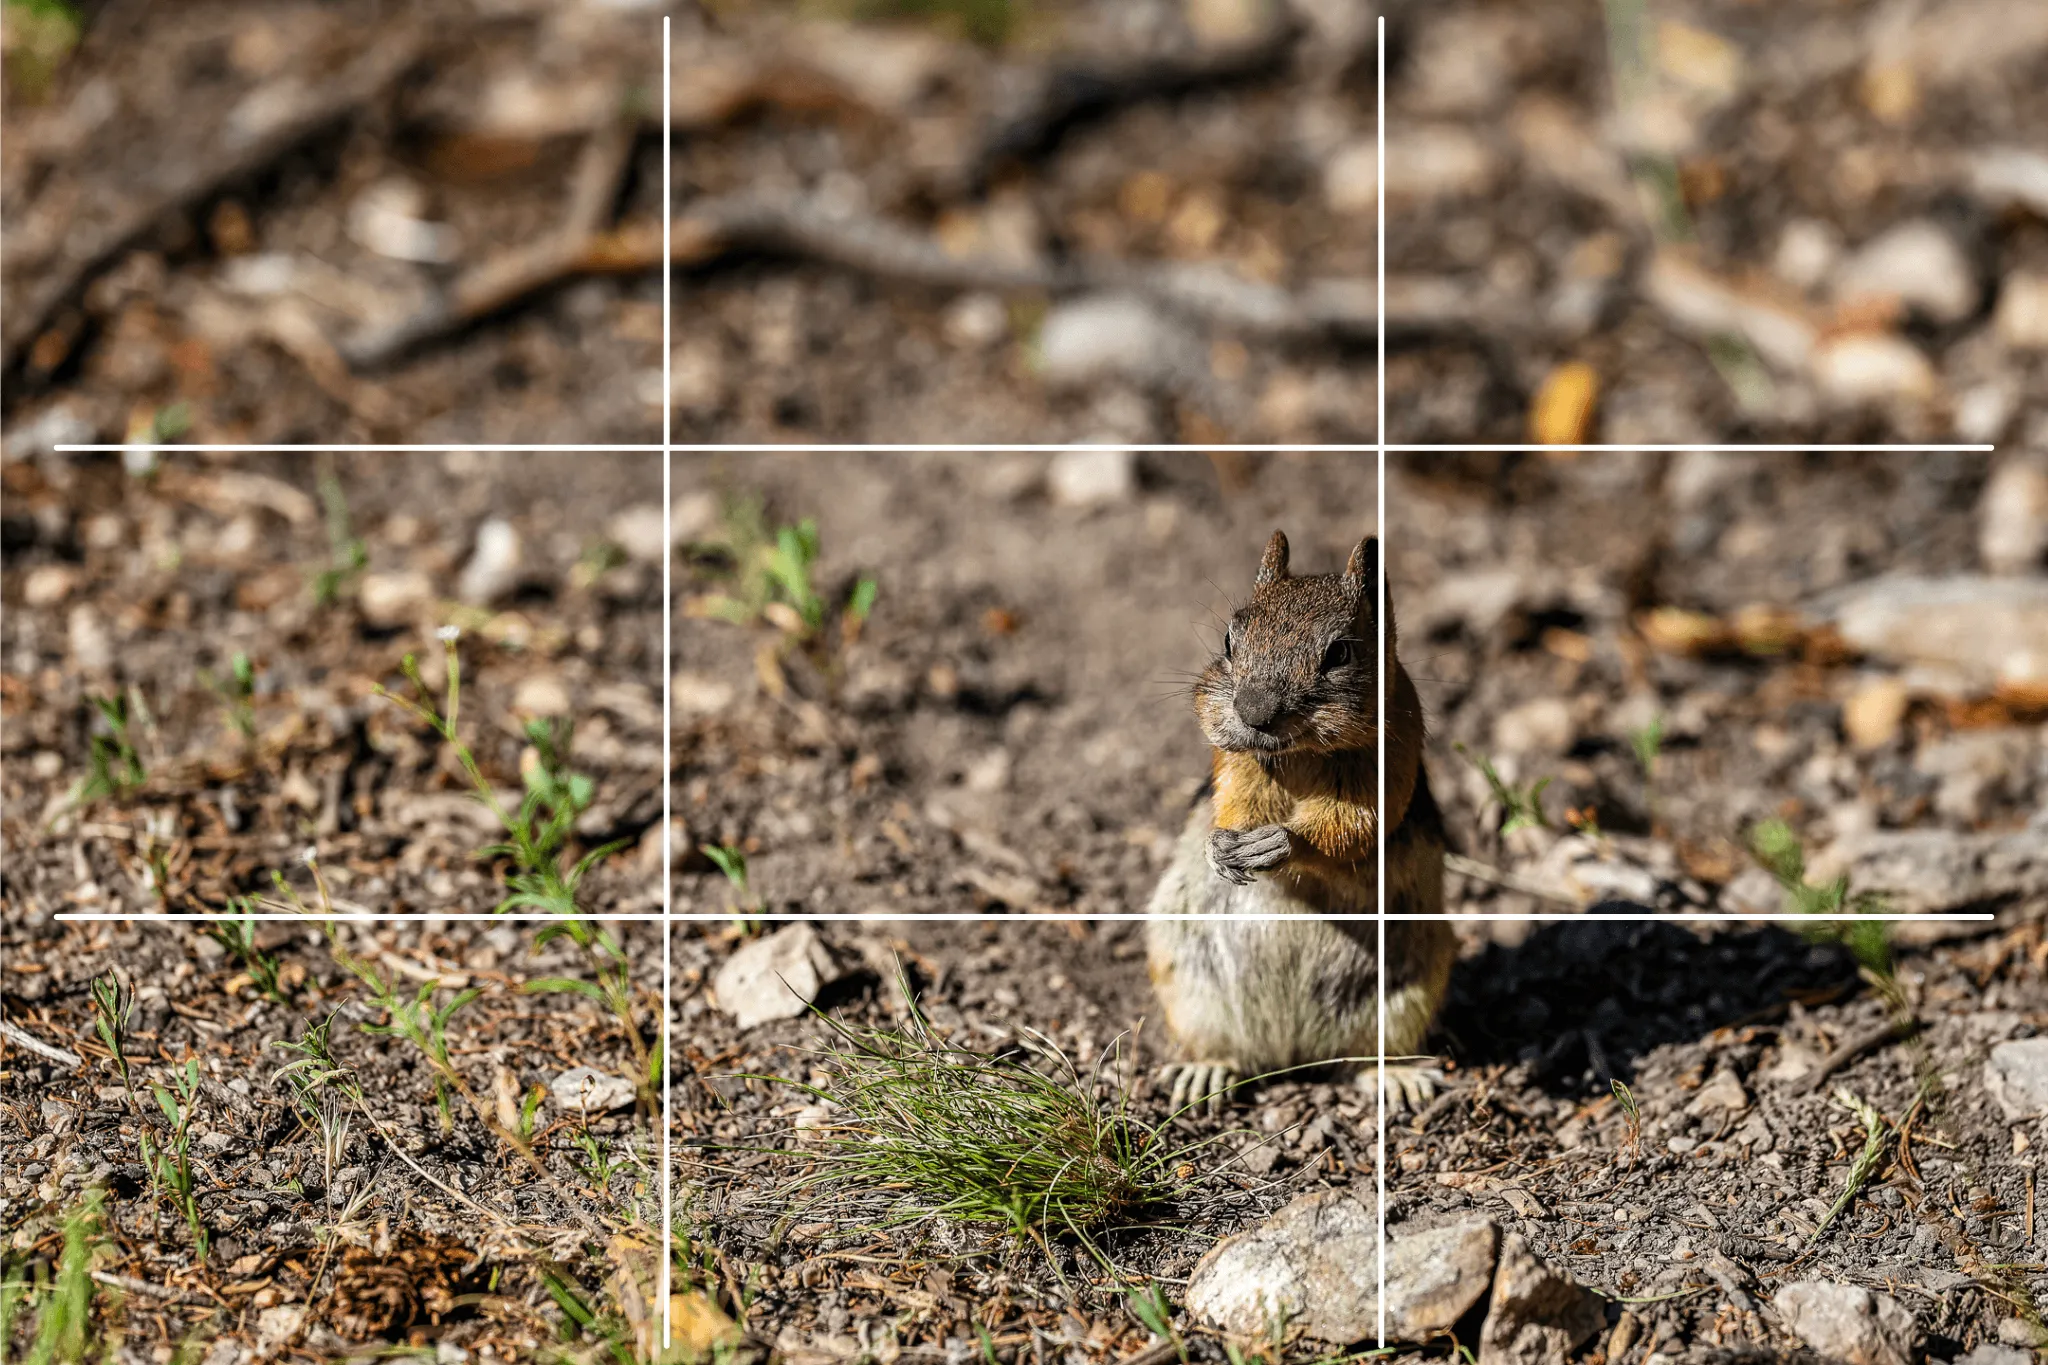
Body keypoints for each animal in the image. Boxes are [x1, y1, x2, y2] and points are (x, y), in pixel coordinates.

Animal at [1145, 530, 1454, 1113]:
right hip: (1186, 976)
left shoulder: (1391, 757)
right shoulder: (1236, 767)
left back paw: (1396, 1078)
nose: (1253, 712)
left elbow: (1354, 827)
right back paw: (1207, 1071)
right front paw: (1222, 848)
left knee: (1367, 1058)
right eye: (1229, 638)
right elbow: (1231, 804)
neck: (1299, 754)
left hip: (1411, 987)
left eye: (1340, 652)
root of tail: (1291, 1052)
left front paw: (1282, 842)